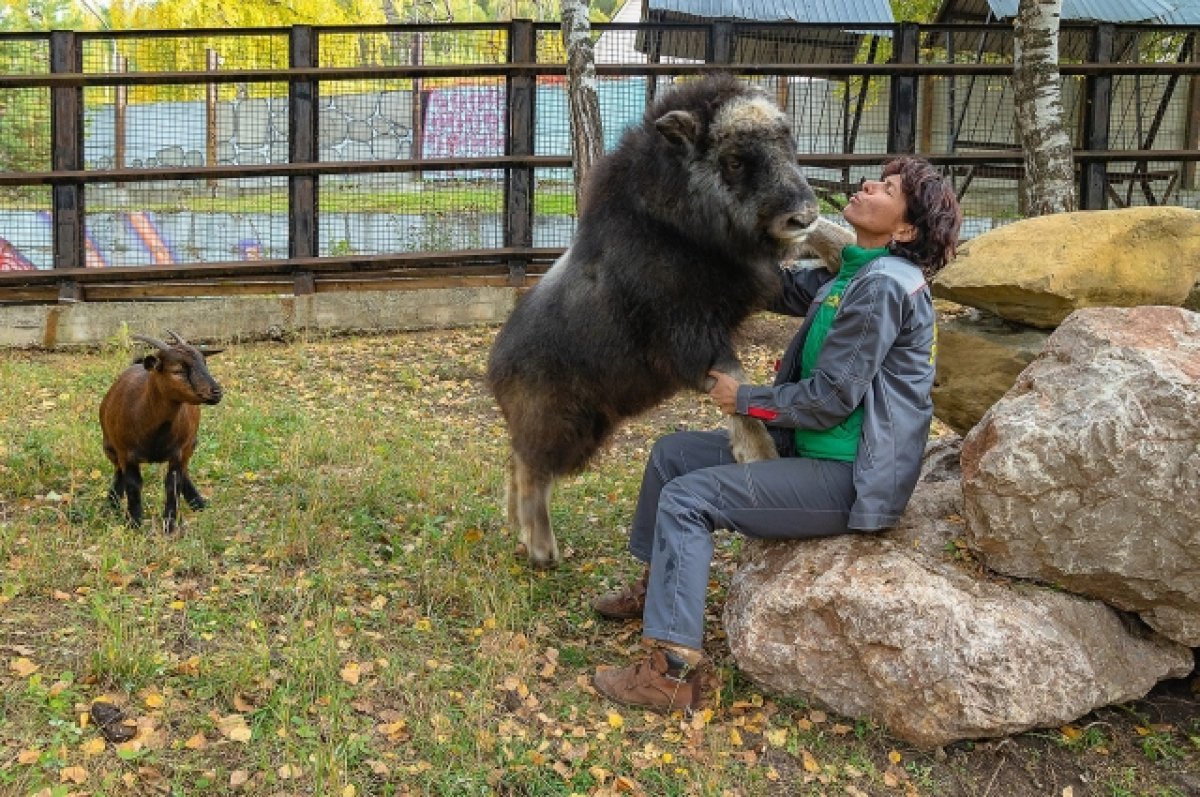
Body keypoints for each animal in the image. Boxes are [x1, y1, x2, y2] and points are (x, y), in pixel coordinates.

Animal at [99, 328, 224, 535]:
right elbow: (133, 485)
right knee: (118, 473)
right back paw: (110, 505)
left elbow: (173, 485)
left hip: (190, 445)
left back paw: (198, 503)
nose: (216, 392)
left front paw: (169, 525)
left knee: (184, 472)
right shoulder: (126, 454)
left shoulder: (178, 453)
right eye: (178, 370)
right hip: (109, 447)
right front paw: (134, 523)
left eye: (205, 363)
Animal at [489, 74, 825, 566]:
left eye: (788, 145)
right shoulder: (692, 335)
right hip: (561, 424)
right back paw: (542, 549)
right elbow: (736, 385)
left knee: (517, 460)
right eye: (735, 160)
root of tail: (495, 370)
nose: (804, 216)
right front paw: (762, 459)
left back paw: (518, 529)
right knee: (533, 468)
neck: (673, 225)